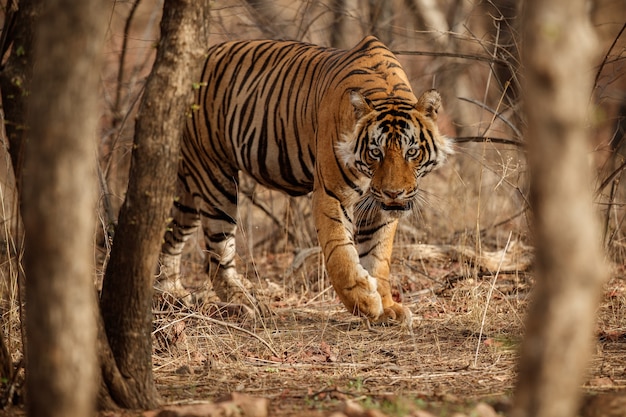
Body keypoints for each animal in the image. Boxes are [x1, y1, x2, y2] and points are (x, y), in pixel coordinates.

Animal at [155, 35, 448, 324]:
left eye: (412, 152)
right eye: (376, 152)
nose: (393, 193)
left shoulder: (377, 206)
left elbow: (378, 256)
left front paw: (387, 307)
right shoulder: (332, 194)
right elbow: (340, 252)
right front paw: (364, 301)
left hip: (189, 187)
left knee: (171, 235)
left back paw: (171, 293)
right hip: (215, 179)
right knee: (217, 256)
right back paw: (247, 304)